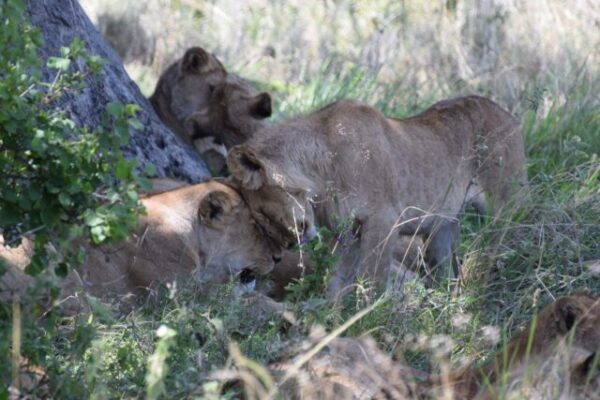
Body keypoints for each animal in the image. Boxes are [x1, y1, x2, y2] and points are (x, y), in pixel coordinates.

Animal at [227, 95, 528, 296]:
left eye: (262, 213)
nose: (288, 246)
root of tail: (509, 114)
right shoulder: (347, 233)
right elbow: (336, 281)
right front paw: (330, 322)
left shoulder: (384, 221)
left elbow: (372, 282)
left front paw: (369, 322)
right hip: (442, 229)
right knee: (447, 274)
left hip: (505, 208)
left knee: (503, 248)